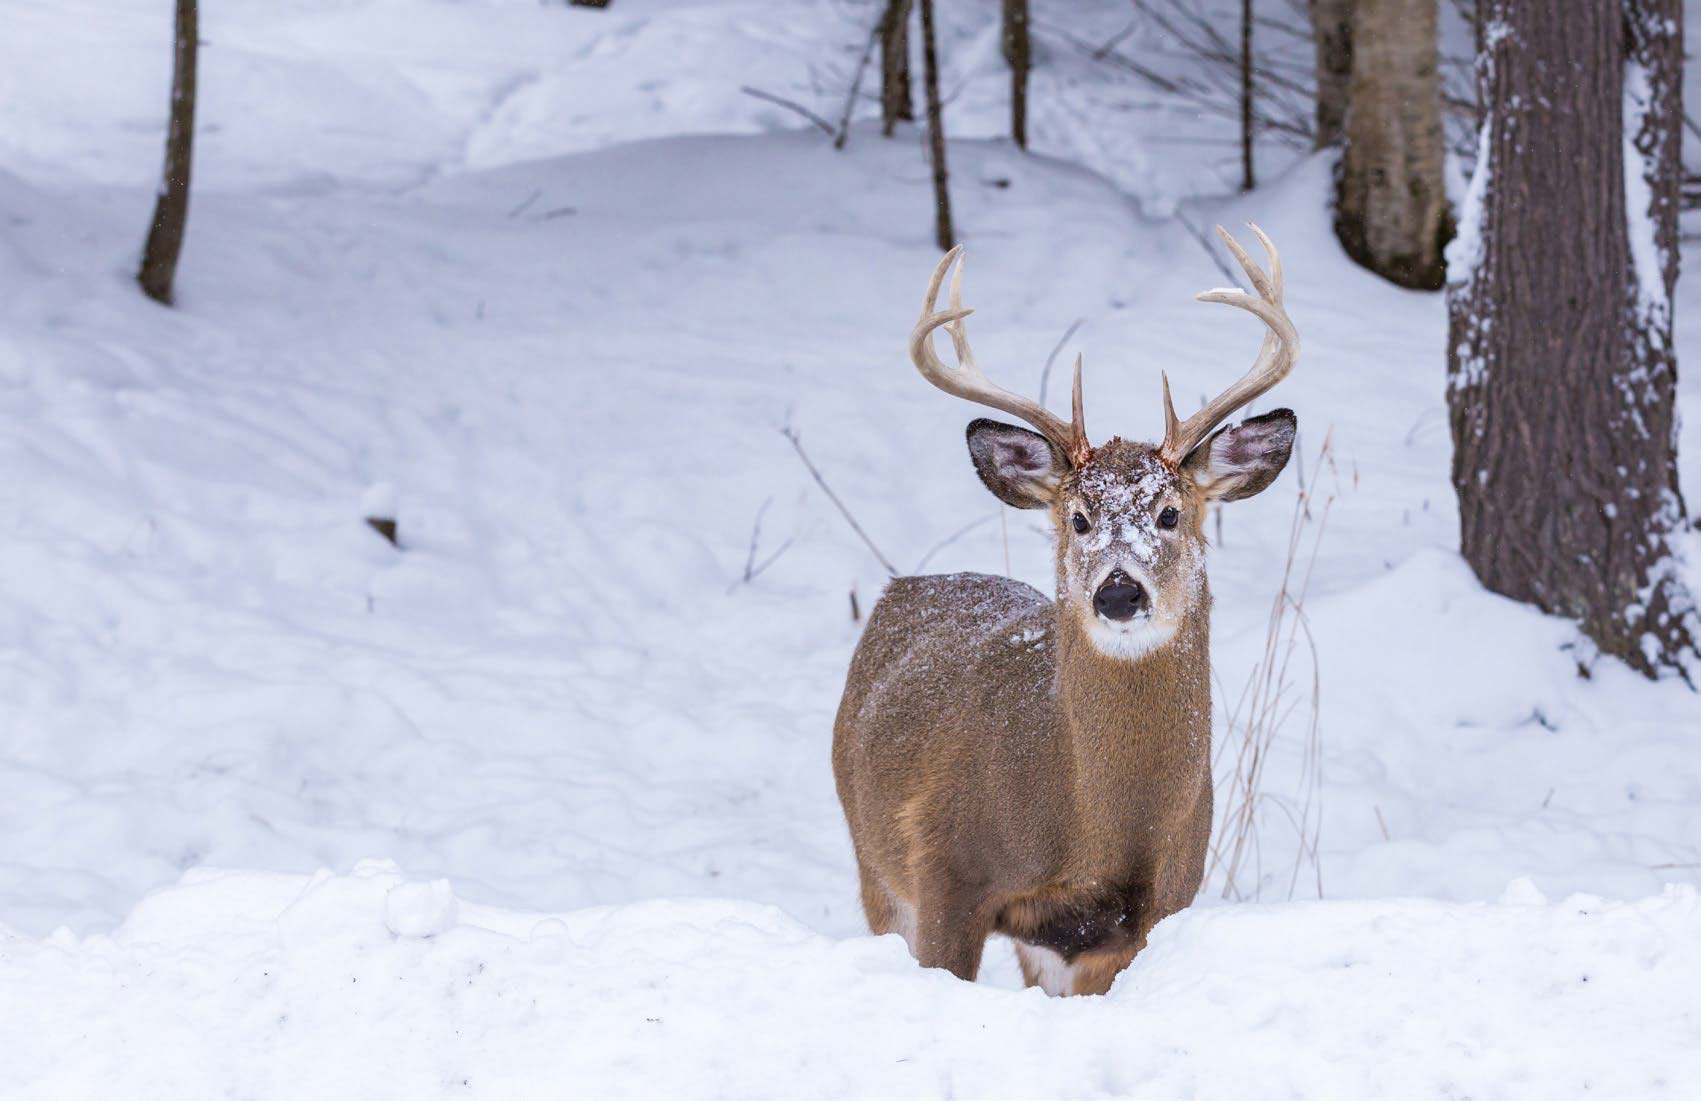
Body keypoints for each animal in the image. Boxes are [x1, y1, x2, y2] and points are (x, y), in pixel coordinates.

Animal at [830, 224, 1292, 1000]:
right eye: (1077, 518)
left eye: (1170, 513)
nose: (1118, 592)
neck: (1096, 833)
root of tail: (908, 587)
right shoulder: (944, 867)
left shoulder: (1150, 910)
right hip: (871, 856)